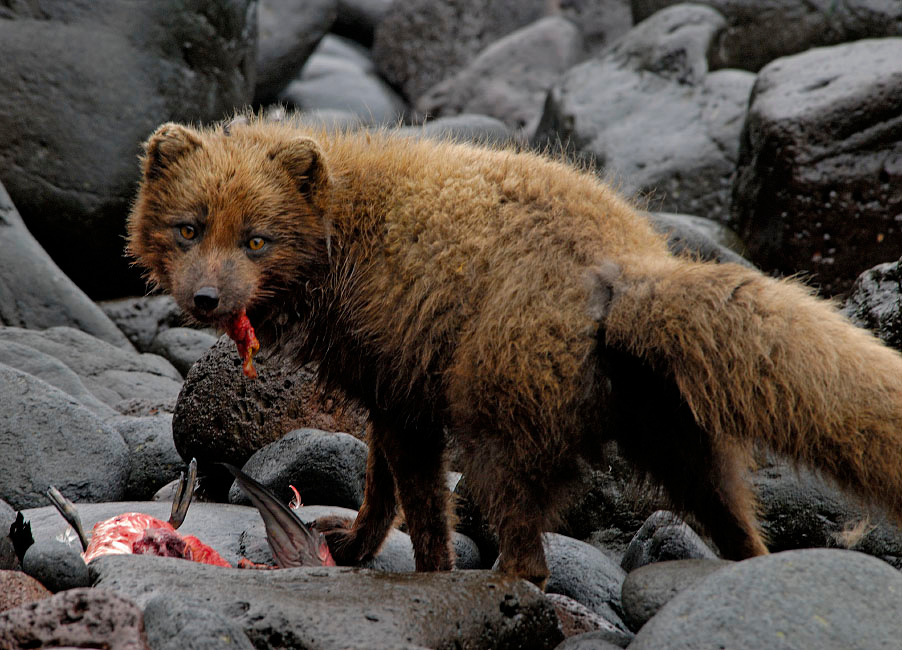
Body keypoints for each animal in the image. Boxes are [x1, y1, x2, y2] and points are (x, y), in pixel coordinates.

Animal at [127, 114, 902, 585]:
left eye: (257, 238)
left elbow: (417, 496)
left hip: (504, 392)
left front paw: (425, 571)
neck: (344, 242)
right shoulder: (390, 382)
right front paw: (348, 545)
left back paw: (498, 581)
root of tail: (622, 264)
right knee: (727, 507)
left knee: (524, 531)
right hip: (664, 418)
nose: (207, 298)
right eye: (189, 227)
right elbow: (382, 481)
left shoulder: (406, 374)